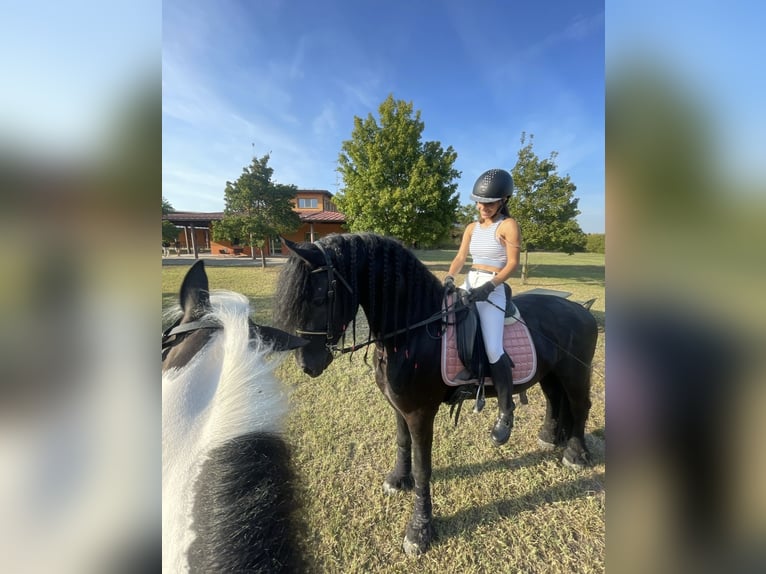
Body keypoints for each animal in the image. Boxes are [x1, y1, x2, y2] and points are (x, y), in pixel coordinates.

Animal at [274, 233, 598, 556]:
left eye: (319, 299)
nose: (307, 365)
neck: (413, 332)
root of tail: (582, 309)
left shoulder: (420, 413)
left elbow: (423, 469)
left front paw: (419, 530)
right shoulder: (398, 406)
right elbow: (402, 443)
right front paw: (397, 480)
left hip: (575, 372)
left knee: (580, 406)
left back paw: (575, 454)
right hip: (551, 374)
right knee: (555, 400)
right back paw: (549, 437)